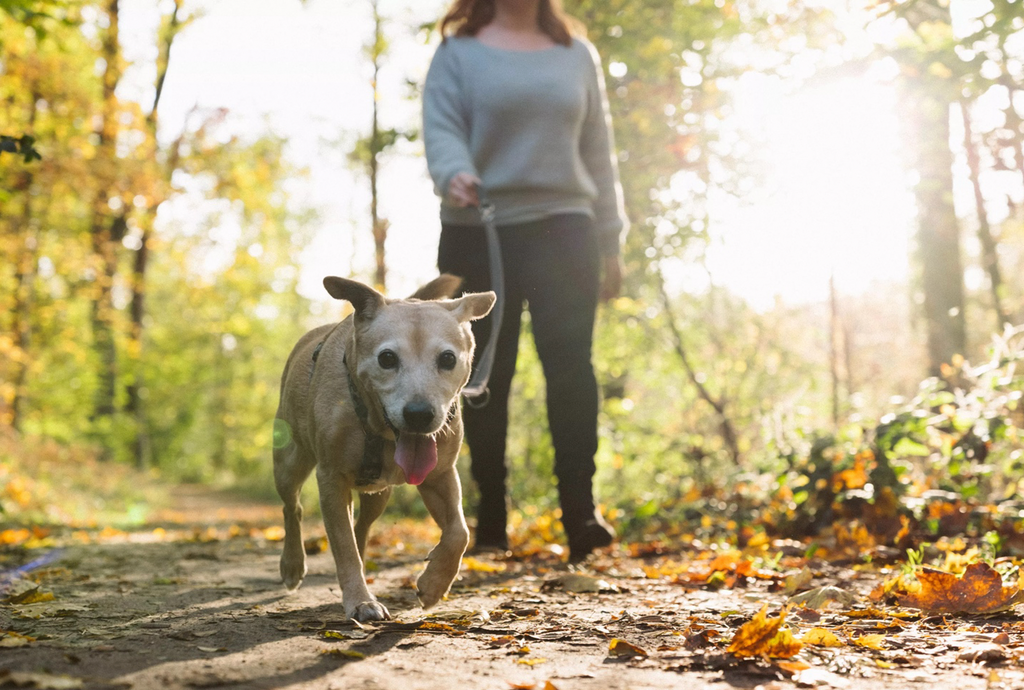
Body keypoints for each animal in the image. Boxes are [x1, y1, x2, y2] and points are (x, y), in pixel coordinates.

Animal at [272, 272, 495, 618]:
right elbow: (344, 548)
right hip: (290, 462)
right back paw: (293, 563)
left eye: (448, 358)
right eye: (387, 358)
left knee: (360, 527)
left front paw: (434, 584)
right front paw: (361, 601)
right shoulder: (331, 479)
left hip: (379, 494)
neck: (378, 430)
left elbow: (459, 531)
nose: (419, 415)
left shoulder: (440, 475)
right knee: (292, 507)